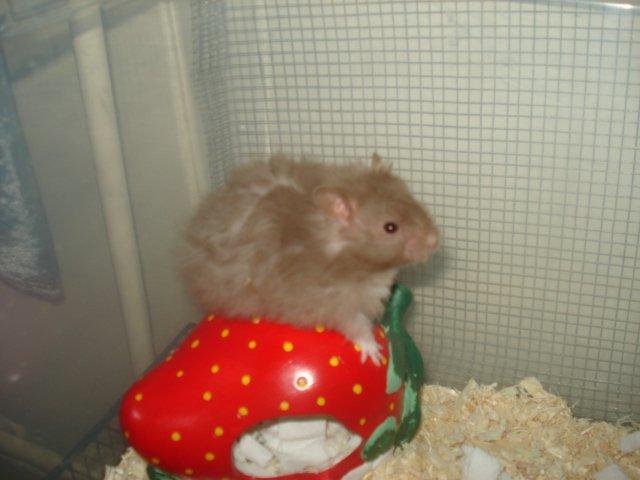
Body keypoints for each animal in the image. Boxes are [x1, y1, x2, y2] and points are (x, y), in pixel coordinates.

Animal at [179, 153, 439, 364]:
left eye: (414, 201)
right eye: (390, 227)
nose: (435, 241)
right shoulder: (335, 302)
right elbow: (357, 325)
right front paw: (375, 354)